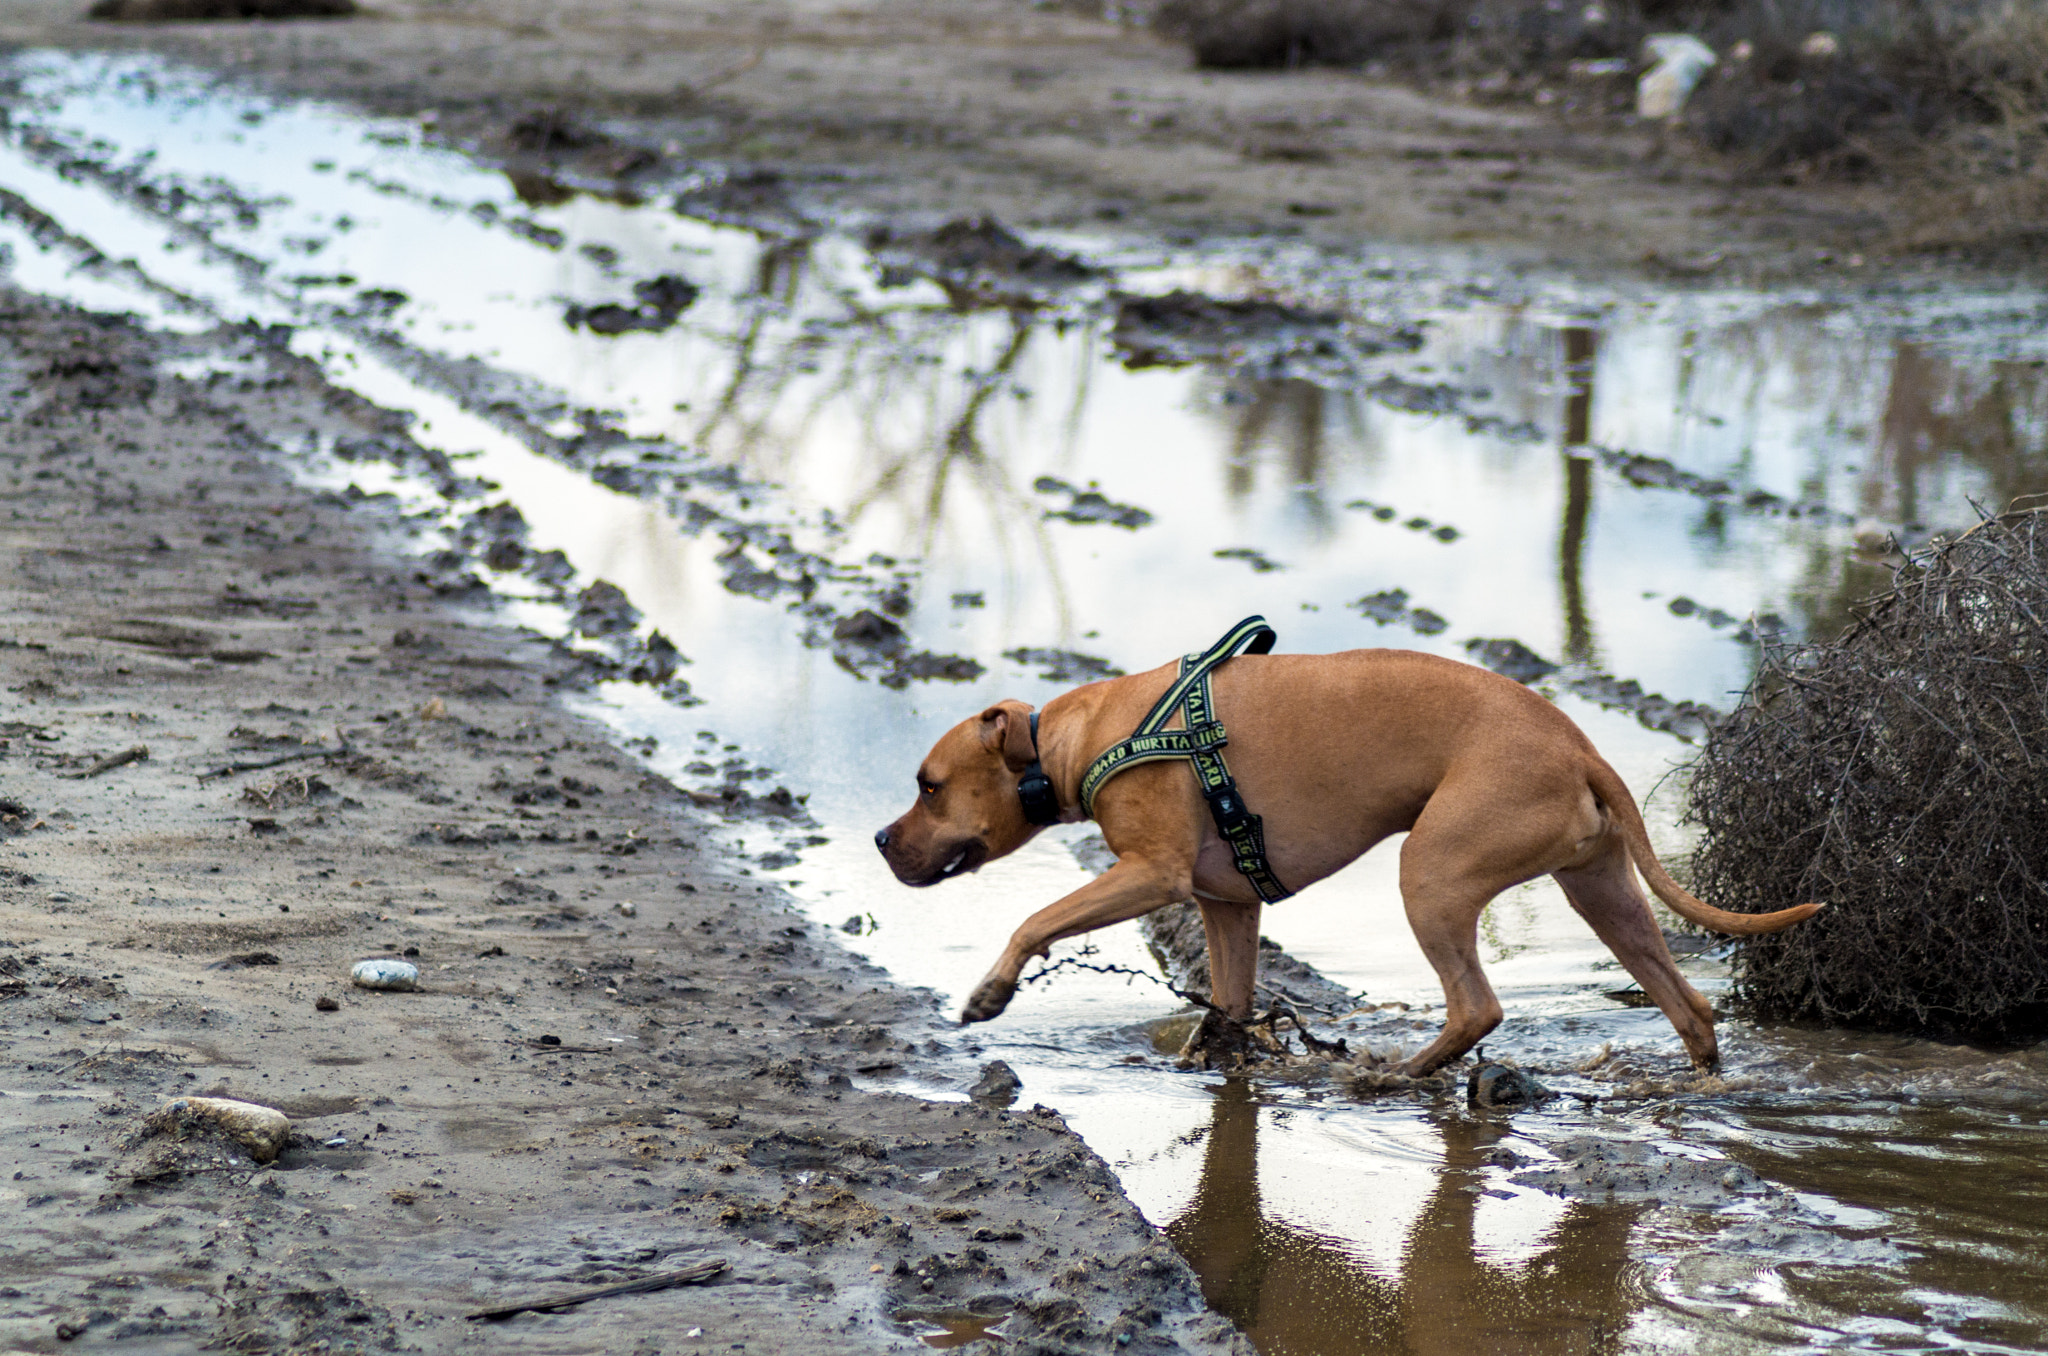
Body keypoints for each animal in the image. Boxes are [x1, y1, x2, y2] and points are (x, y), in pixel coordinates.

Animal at [872, 647, 1818, 1073]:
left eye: (927, 787)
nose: (881, 840)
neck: (1075, 739)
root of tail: (1579, 745)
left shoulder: (1150, 875)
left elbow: (1033, 919)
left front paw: (990, 994)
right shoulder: (1228, 905)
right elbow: (1227, 1001)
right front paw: (1210, 1056)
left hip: (1432, 875)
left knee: (1476, 1007)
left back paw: (1400, 1077)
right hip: (1601, 892)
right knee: (1690, 1005)